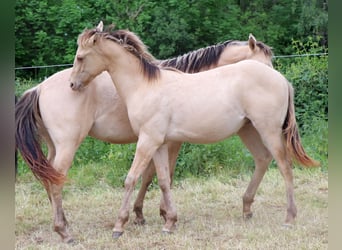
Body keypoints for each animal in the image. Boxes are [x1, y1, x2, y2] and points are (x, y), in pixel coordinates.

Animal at [69, 22, 318, 239]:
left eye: (80, 57)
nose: (72, 84)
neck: (145, 86)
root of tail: (282, 80)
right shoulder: (159, 144)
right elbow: (162, 179)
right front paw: (169, 221)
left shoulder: (148, 141)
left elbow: (132, 179)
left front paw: (120, 225)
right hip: (248, 131)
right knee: (263, 159)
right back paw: (247, 209)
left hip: (269, 131)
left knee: (285, 167)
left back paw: (289, 218)